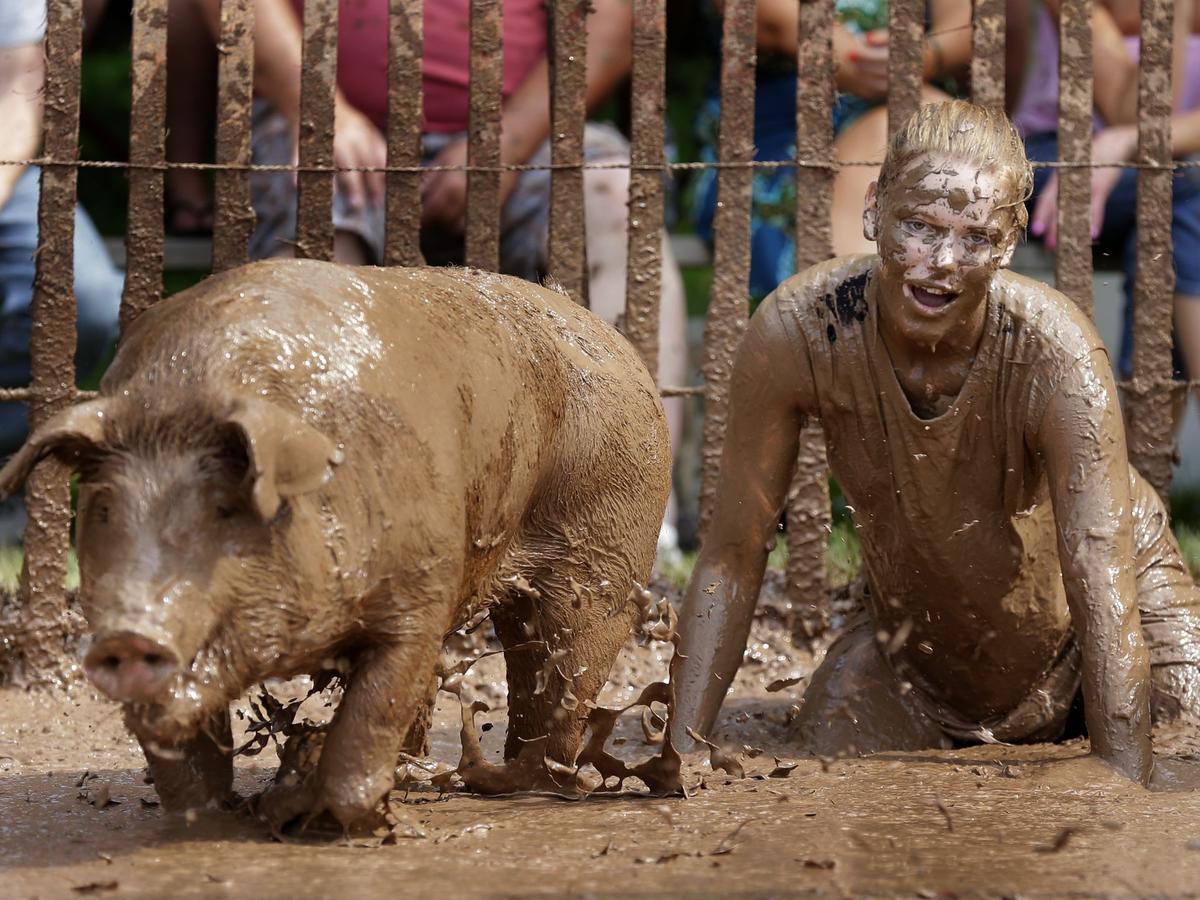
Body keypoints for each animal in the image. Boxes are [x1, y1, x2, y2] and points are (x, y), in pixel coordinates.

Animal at [0, 260, 676, 830]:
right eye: (104, 511)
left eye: (225, 508)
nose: (126, 636)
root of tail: (612, 337)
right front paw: (213, 817)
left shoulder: (418, 595)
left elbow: (374, 708)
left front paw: (336, 822)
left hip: (609, 546)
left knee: (564, 661)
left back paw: (530, 785)